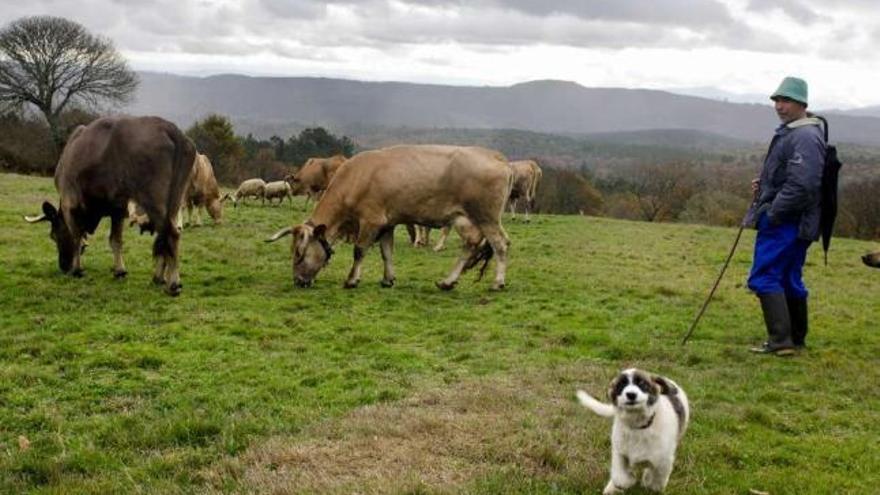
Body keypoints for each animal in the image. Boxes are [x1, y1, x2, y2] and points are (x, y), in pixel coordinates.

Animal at [24, 116, 195, 294]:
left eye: (53, 236)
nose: (63, 267)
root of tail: (171, 129)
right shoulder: (117, 209)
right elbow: (115, 240)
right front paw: (119, 270)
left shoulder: (70, 205)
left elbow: (77, 237)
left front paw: (77, 270)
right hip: (174, 202)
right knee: (165, 237)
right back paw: (158, 277)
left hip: (154, 201)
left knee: (171, 234)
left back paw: (174, 283)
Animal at [268, 143, 516, 290]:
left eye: (299, 253)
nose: (298, 281)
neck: (356, 178)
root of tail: (497, 157)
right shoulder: (387, 224)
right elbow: (386, 252)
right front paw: (388, 279)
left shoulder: (371, 220)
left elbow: (359, 250)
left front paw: (351, 279)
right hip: (467, 219)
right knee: (471, 246)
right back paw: (448, 281)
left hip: (486, 217)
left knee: (500, 244)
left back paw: (498, 282)